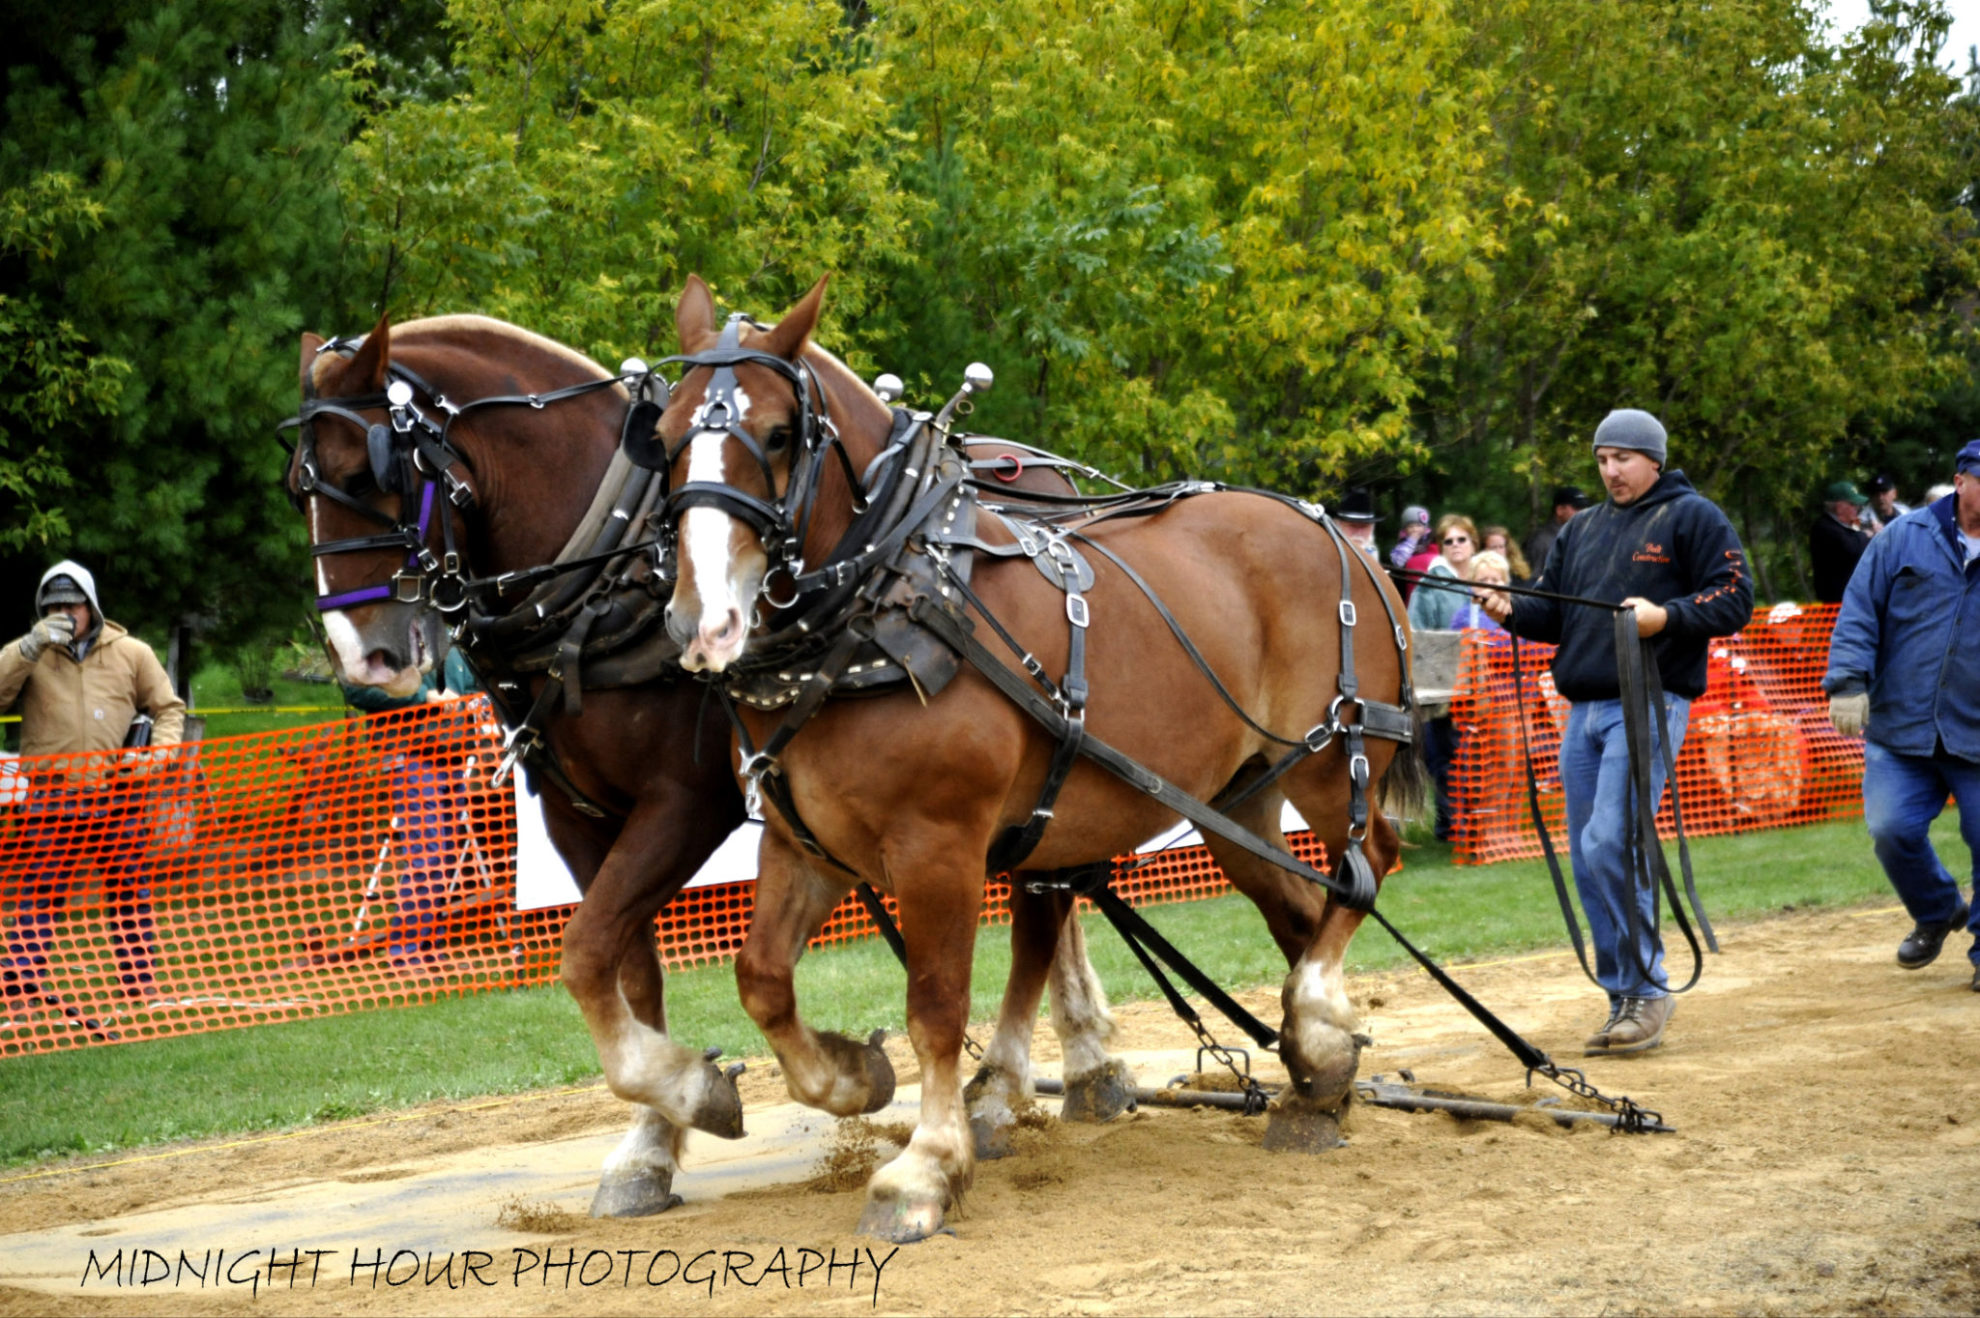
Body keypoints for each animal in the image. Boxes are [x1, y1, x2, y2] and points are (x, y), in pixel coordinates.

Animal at [654, 274, 1420, 1241]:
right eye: (663, 436)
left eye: (782, 434)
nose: (703, 620)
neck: (887, 603)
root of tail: (1341, 536)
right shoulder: (804, 843)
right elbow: (761, 979)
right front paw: (849, 1076)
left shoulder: (938, 846)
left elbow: (936, 1007)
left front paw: (927, 1168)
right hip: (1239, 800)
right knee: (1300, 908)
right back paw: (1318, 1081)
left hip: (1330, 763)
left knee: (1367, 866)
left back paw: (1316, 1024)